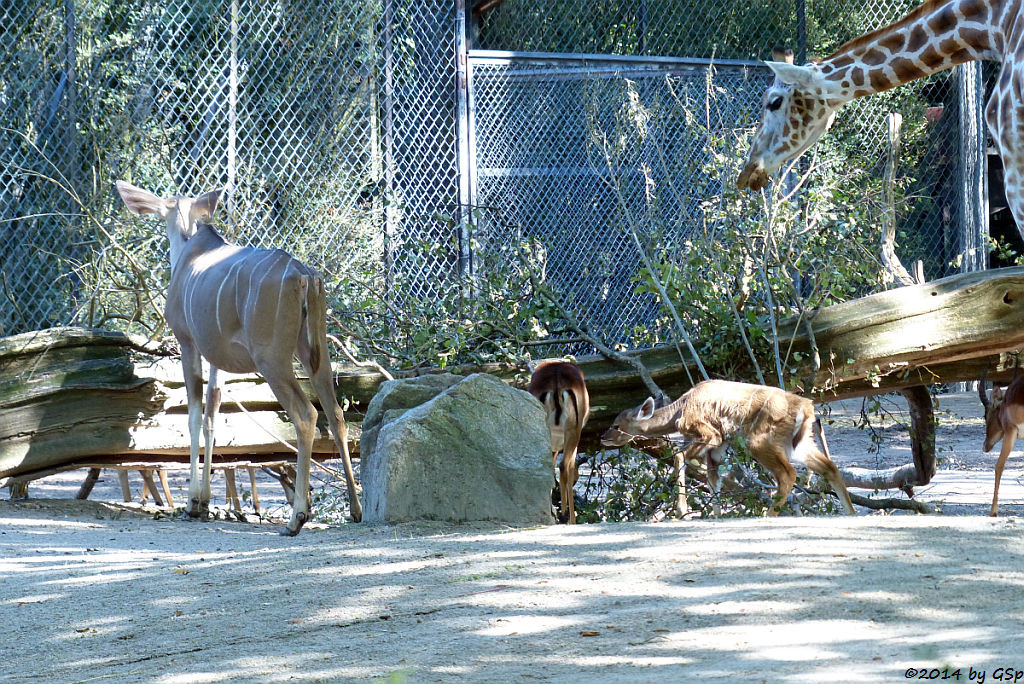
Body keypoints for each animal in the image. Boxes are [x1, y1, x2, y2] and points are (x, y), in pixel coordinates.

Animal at [114, 180, 362, 532]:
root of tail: (303, 276)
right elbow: (212, 415)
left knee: (306, 414)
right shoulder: (216, 359)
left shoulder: (188, 342)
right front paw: (204, 502)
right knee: (337, 414)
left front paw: (192, 504)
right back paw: (355, 509)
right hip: (316, 354)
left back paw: (297, 518)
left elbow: (193, 415)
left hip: (272, 359)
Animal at [598, 378, 856, 511]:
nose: (603, 436)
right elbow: (714, 481)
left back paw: (766, 515)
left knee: (788, 474)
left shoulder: (710, 434)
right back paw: (849, 513)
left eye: (616, 425)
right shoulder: (718, 448)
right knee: (829, 467)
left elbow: (680, 457)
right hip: (798, 443)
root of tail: (807, 408)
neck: (679, 411)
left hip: (760, 442)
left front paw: (682, 510)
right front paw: (715, 515)